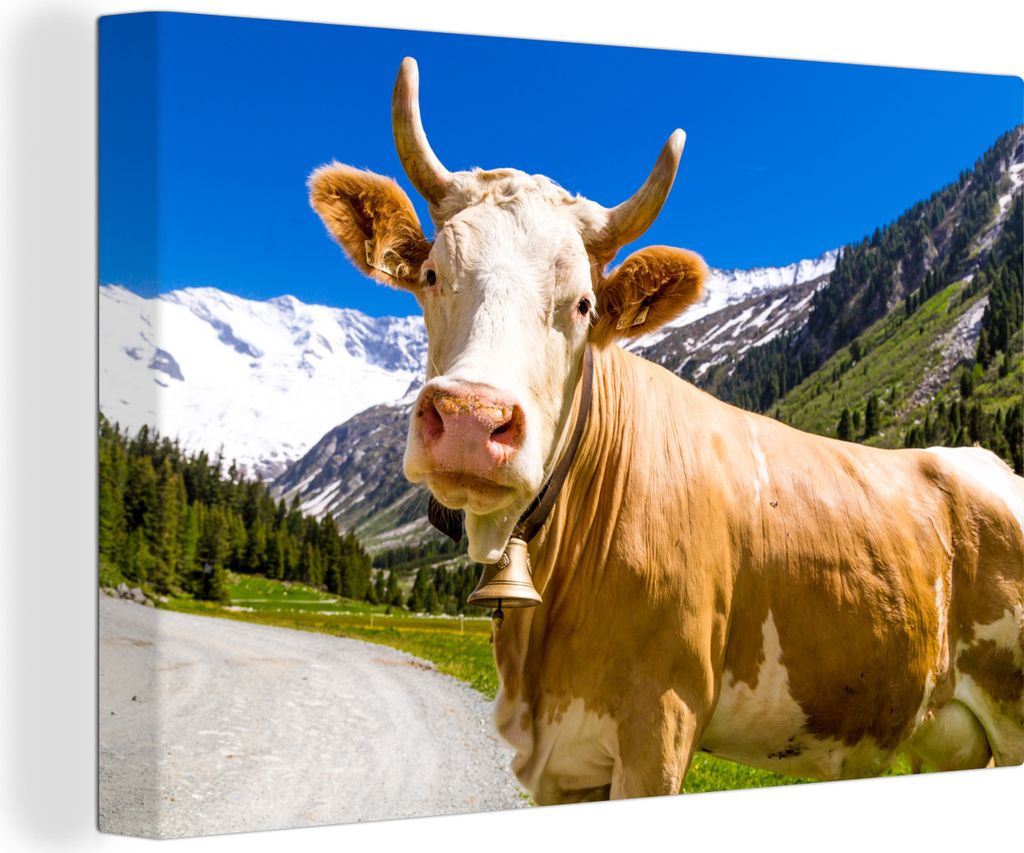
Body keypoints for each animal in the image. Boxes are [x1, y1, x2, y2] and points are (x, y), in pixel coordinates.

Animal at [308, 57, 1024, 804]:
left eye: (583, 304)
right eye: (430, 274)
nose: (473, 419)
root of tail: (986, 462)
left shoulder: (660, 721)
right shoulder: (563, 763)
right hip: (950, 738)